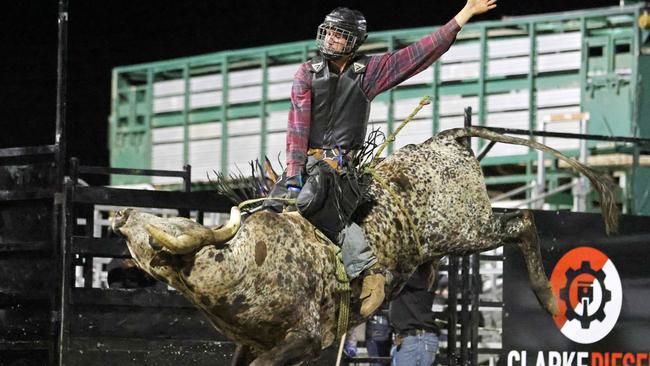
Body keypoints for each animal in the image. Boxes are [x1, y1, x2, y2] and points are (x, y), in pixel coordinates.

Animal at [110, 127, 612, 364]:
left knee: (522, 222)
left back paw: (550, 299)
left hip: (468, 227)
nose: (121, 214)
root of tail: (446, 139)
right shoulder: (257, 345)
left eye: (166, 223)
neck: (242, 263)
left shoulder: (304, 337)